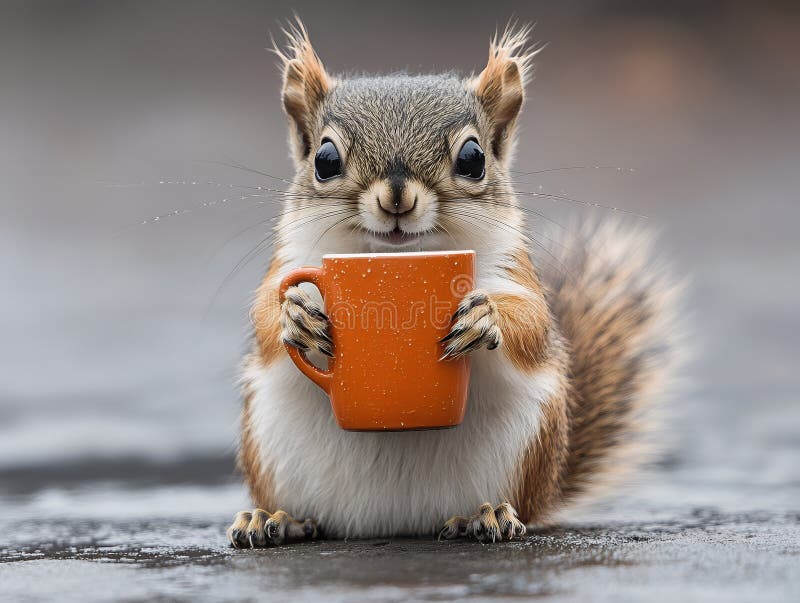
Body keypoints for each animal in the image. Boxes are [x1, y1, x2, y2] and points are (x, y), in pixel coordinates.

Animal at [226, 21, 682, 547]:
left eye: (473, 157)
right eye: (324, 159)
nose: (397, 198)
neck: (396, 256)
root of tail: (395, 523)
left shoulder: (512, 268)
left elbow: (533, 323)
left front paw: (486, 318)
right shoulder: (292, 258)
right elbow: (264, 313)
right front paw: (294, 315)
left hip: (526, 447)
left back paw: (484, 516)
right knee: (312, 517)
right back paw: (278, 519)